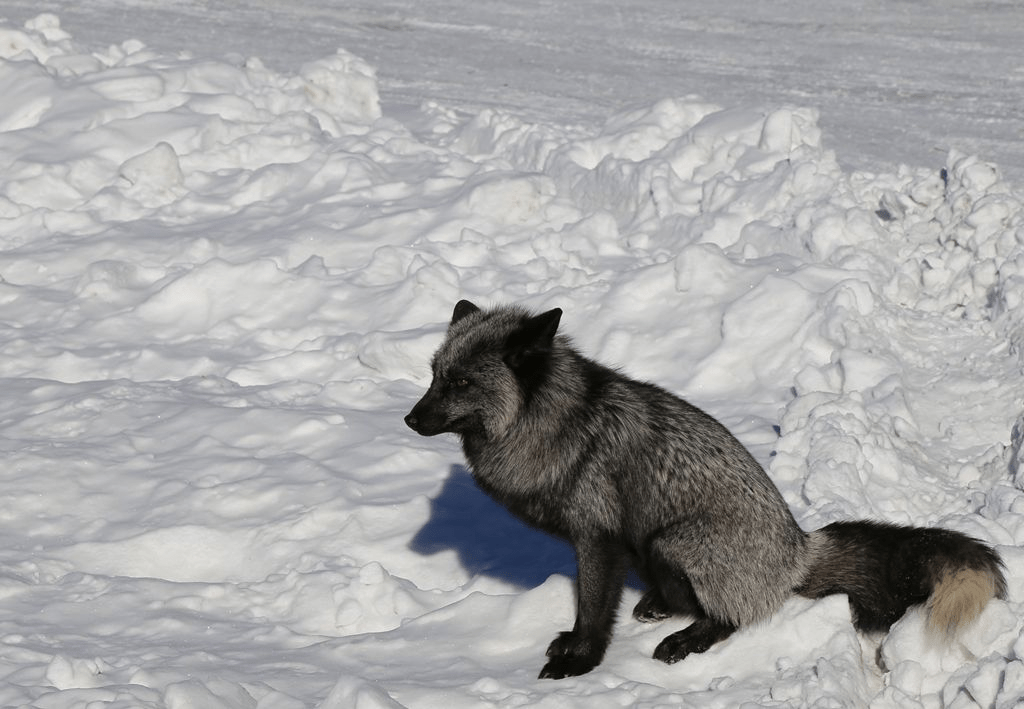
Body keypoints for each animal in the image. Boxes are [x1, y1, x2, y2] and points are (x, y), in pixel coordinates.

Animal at [403, 301, 1003, 680]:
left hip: (671, 541)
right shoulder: (607, 543)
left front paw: (580, 662)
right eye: (434, 375)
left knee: (730, 618)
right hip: (650, 547)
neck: (557, 424)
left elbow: (593, 610)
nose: (408, 419)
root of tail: (798, 549)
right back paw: (658, 608)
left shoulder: (598, 538)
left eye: (461, 383)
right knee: (685, 600)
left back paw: (685, 639)